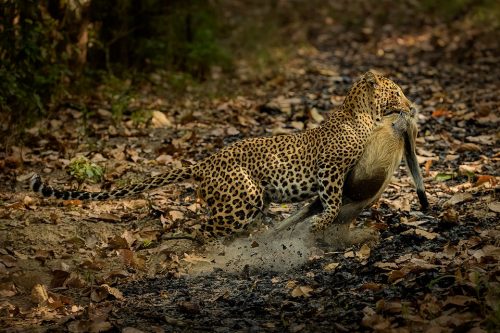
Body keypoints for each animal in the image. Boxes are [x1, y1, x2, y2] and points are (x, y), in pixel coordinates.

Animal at [29, 71, 412, 240]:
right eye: (397, 92)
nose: (410, 106)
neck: (363, 113)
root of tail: (204, 162)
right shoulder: (330, 168)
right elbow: (331, 200)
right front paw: (321, 223)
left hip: (251, 198)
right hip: (245, 195)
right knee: (205, 227)